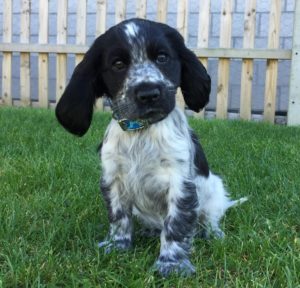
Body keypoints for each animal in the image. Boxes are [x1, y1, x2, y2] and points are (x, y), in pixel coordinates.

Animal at [55, 18, 247, 276]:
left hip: (215, 188)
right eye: (118, 64)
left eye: (162, 58)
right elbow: (118, 217)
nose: (148, 93)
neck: (141, 131)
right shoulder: (113, 178)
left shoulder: (180, 182)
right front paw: (117, 246)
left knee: (209, 218)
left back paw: (213, 234)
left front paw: (172, 264)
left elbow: (176, 224)